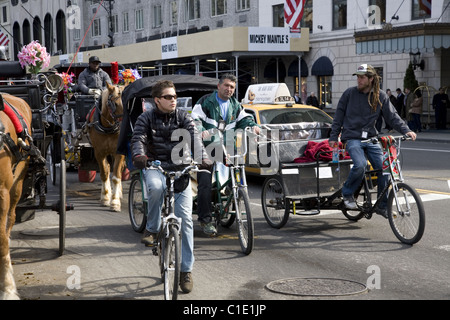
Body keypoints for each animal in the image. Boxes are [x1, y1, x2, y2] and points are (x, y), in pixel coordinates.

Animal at [86, 83, 125, 212]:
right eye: (115, 104)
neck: (108, 128)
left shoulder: (119, 152)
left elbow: (116, 176)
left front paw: (115, 201)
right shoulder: (99, 152)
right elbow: (104, 174)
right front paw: (105, 198)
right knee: (107, 169)